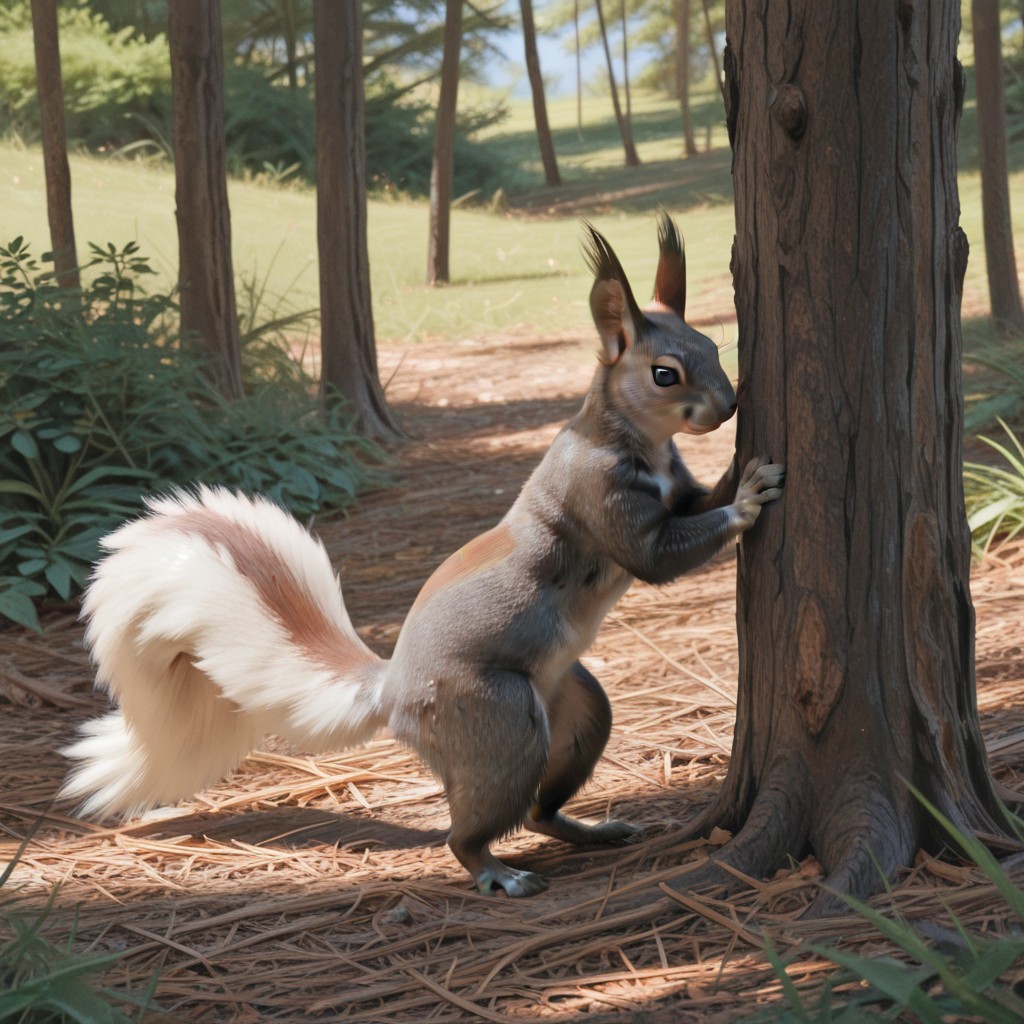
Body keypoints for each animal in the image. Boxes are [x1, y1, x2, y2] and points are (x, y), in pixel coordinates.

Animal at [60, 215, 785, 897]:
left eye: (710, 347)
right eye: (665, 374)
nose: (729, 406)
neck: (636, 441)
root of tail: (393, 690)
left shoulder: (675, 490)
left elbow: (696, 502)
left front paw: (736, 470)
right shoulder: (602, 503)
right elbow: (658, 558)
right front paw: (750, 496)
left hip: (576, 712)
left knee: (541, 808)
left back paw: (593, 830)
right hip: (498, 720)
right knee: (469, 831)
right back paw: (498, 873)